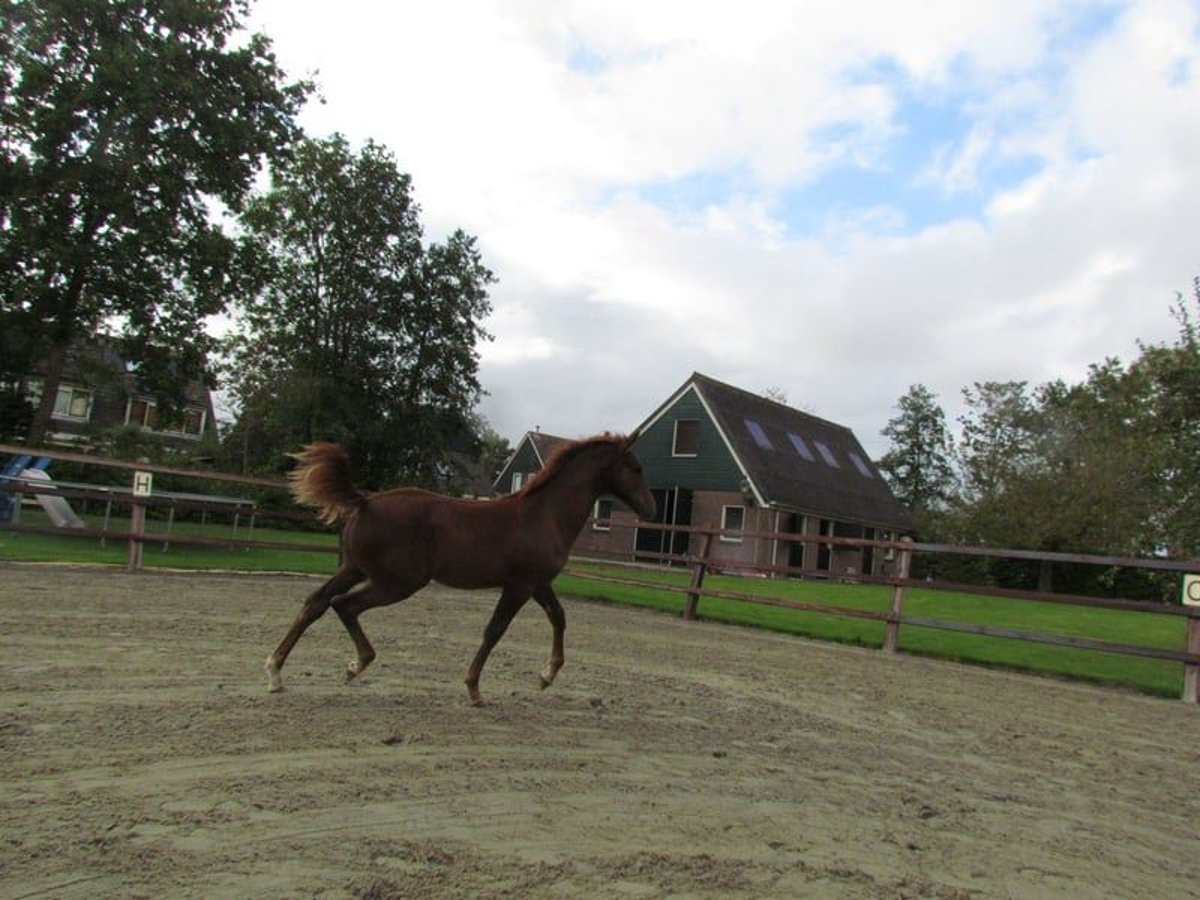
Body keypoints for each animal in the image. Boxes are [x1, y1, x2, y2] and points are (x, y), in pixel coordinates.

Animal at [266, 434, 657, 710]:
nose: (651, 509)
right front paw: (474, 690)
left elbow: (558, 618)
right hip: (397, 582)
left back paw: (276, 673)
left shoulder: (538, 583)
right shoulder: (519, 585)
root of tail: (364, 501)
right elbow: (494, 631)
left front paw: (546, 676)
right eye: (636, 468)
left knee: (316, 602)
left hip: (354, 568)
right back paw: (355, 665)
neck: (544, 515)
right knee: (344, 605)